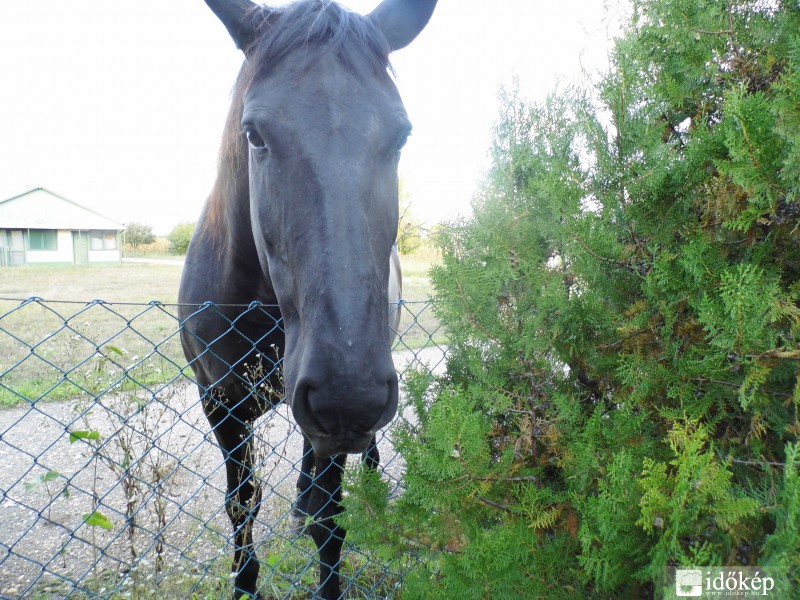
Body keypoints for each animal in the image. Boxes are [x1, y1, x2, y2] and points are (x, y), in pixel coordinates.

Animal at [179, 1, 438, 600]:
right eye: (254, 134)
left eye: (402, 135)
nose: (349, 395)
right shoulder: (219, 404)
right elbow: (241, 508)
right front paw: (245, 584)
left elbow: (330, 519)